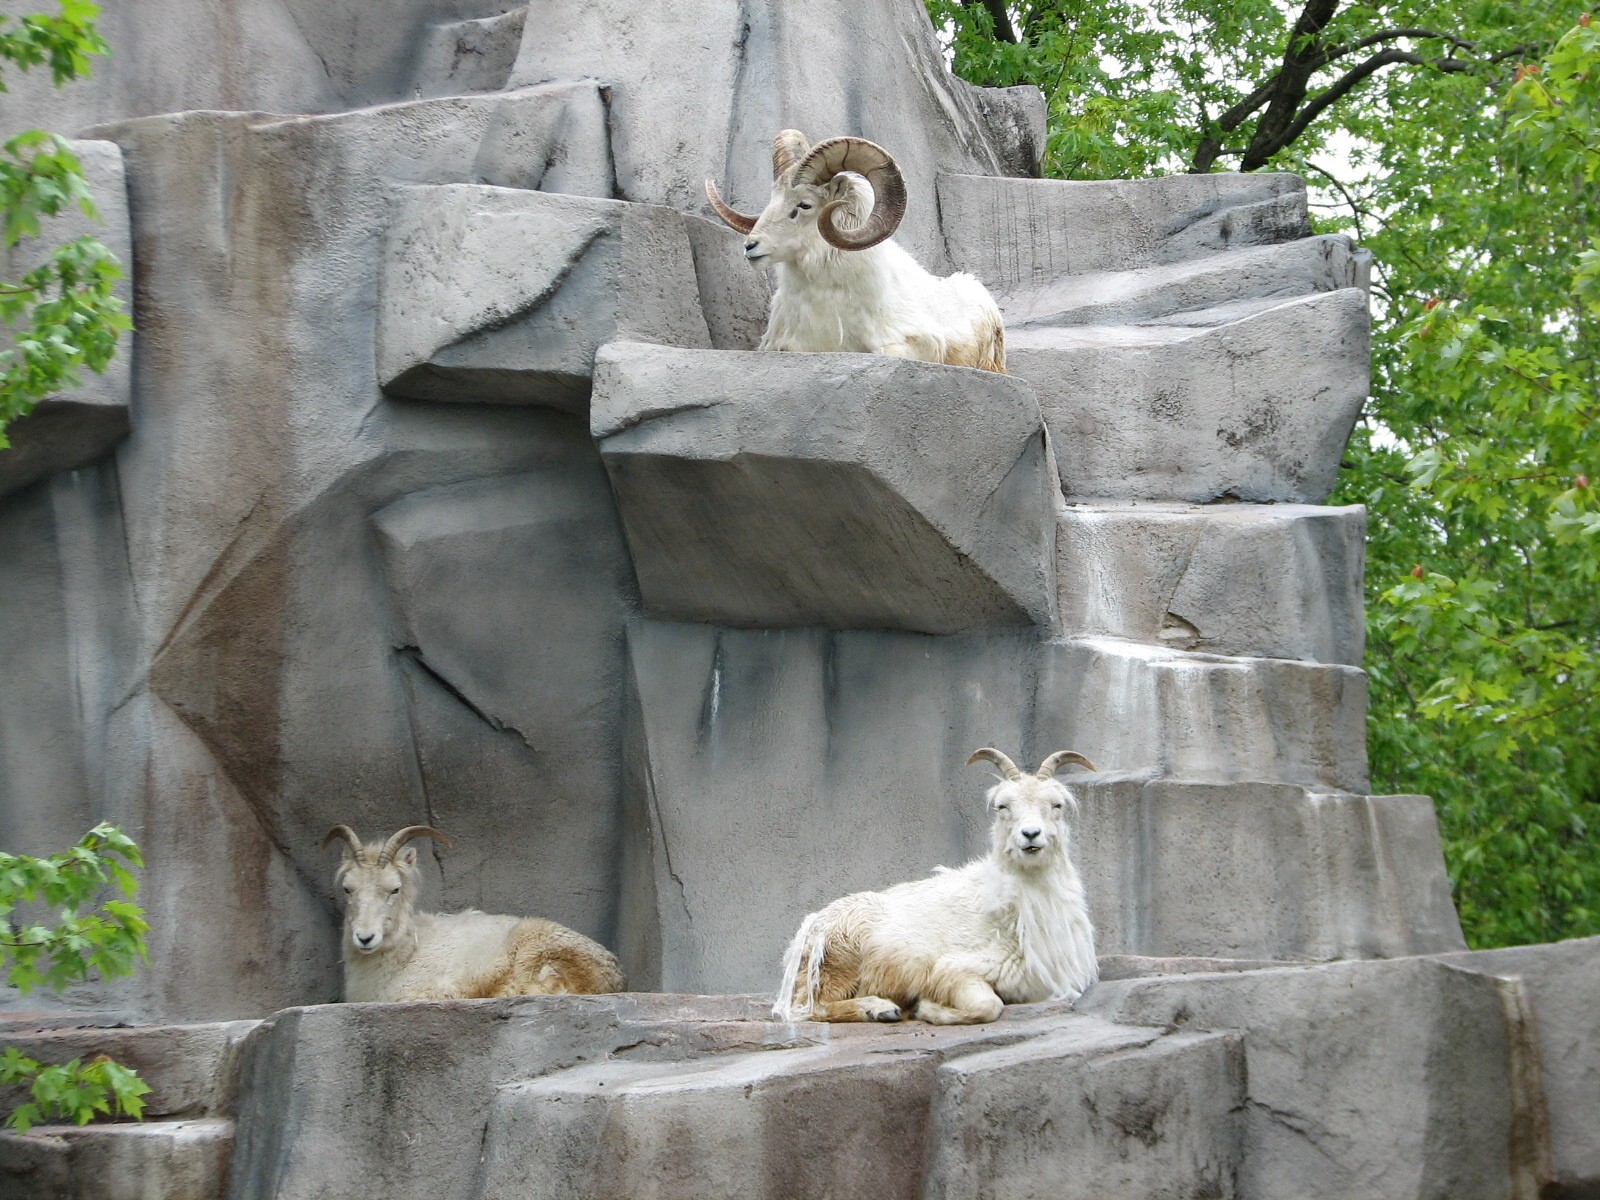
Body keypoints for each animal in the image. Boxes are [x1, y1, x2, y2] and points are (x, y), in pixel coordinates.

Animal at [321, 825, 625, 1003]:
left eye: (394, 889)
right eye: (348, 889)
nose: (365, 938)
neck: (407, 955)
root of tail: (613, 975)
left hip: (533, 948)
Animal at [772, 748, 1097, 1024]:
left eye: (1056, 804)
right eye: (1002, 806)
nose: (1030, 835)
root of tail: (809, 928)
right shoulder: (955, 969)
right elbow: (988, 1007)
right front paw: (924, 1008)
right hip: (841, 959)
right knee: (811, 1008)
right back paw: (881, 1009)